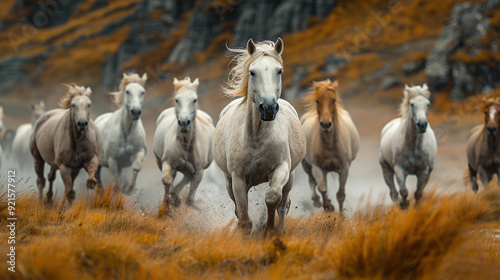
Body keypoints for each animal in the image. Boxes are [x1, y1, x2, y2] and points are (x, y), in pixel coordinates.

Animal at [152, 77, 215, 209]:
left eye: (194, 100)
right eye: (177, 99)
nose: (184, 122)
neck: (185, 145)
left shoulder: (198, 172)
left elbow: (189, 200)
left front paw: (177, 200)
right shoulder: (168, 163)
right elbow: (167, 180)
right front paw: (173, 201)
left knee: (186, 177)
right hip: (161, 162)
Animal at [211, 36, 304, 234]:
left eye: (279, 70)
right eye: (252, 72)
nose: (268, 108)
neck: (256, 138)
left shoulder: (281, 168)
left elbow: (272, 198)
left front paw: (269, 230)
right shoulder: (238, 179)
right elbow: (244, 218)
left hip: (290, 177)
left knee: (283, 205)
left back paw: (281, 231)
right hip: (229, 181)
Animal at [300, 80, 360, 212]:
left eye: (334, 100)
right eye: (317, 100)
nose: (326, 124)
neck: (330, 146)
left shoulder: (344, 169)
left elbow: (341, 195)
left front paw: (341, 214)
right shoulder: (317, 167)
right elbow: (322, 188)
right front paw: (328, 207)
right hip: (307, 165)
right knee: (312, 180)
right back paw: (316, 200)